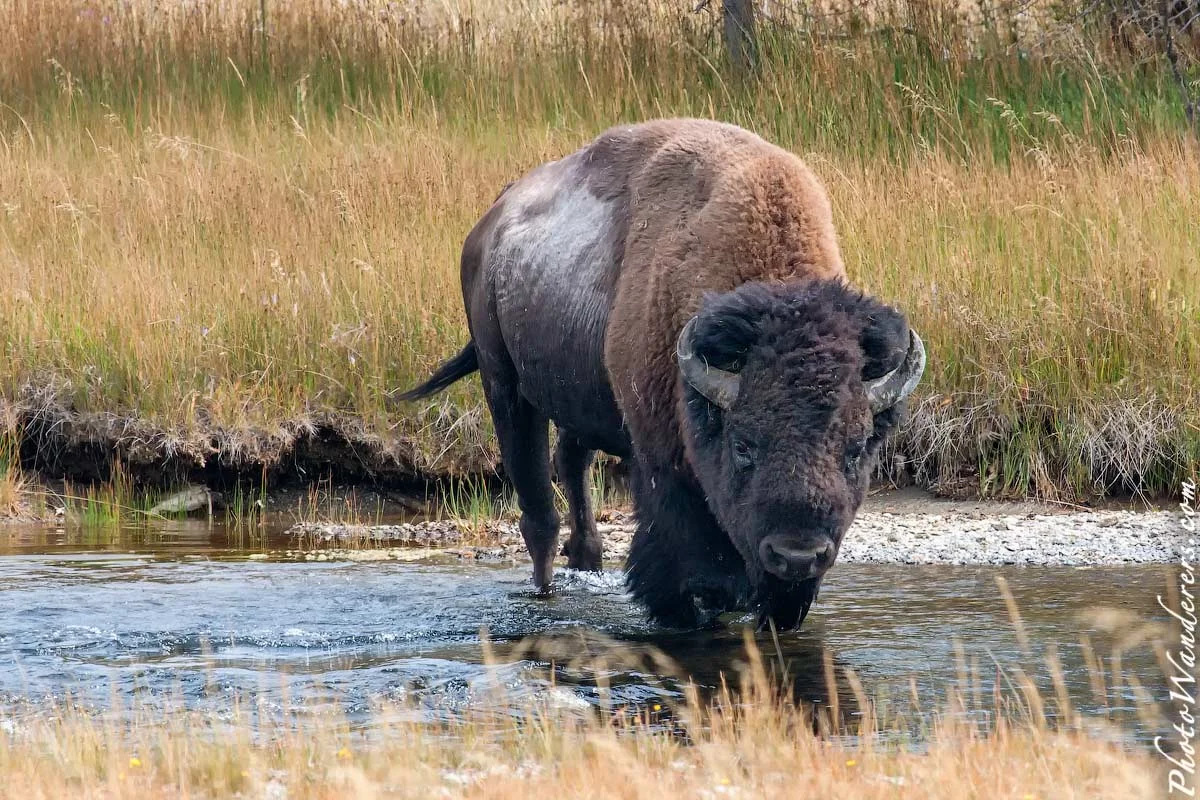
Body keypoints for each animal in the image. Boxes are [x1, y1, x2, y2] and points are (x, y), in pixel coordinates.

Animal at [398, 118, 926, 631]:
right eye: (743, 445)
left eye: (856, 449)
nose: (797, 556)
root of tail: (490, 221)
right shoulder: (661, 465)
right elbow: (686, 567)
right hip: (504, 385)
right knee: (538, 514)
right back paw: (545, 596)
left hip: (577, 398)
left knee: (572, 467)